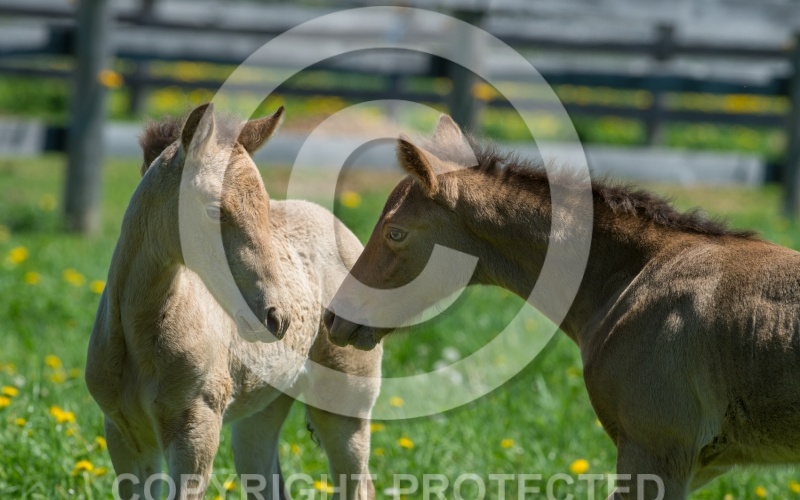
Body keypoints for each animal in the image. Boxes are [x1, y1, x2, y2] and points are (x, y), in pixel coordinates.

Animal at [86, 103, 382, 499]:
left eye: (265, 208)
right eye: (213, 209)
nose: (277, 318)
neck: (139, 337)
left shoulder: (196, 430)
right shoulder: (123, 435)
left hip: (347, 403)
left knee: (358, 484)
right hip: (261, 414)